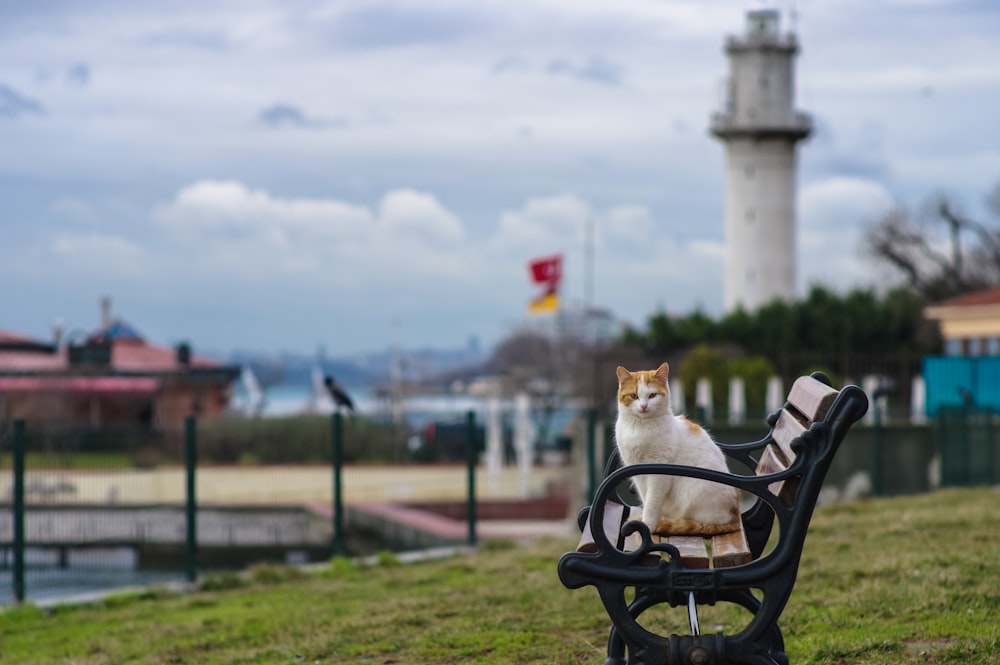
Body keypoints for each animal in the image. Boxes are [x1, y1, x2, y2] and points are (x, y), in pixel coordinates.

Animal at [608, 360, 744, 536]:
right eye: (634, 396)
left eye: (652, 395)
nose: (644, 406)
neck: (640, 427)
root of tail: (735, 512)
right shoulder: (637, 472)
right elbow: (646, 498)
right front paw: (651, 520)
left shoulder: (658, 473)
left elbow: (652, 501)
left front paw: (648, 525)